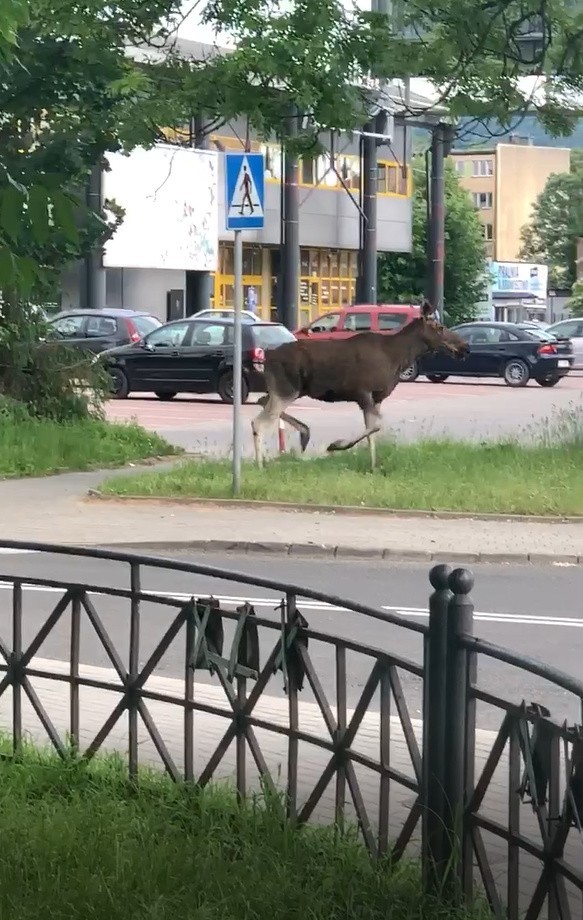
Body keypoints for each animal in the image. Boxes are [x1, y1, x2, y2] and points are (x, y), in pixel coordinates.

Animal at [251, 302, 470, 470]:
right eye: (440, 327)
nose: (465, 347)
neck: (398, 357)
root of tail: (266, 357)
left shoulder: (377, 396)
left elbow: (372, 430)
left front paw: (373, 466)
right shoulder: (363, 392)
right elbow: (376, 426)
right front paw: (335, 445)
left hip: (285, 390)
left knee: (262, 401)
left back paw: (300, 436)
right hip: (287, 389)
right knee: (259, 422)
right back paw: (261, 464)